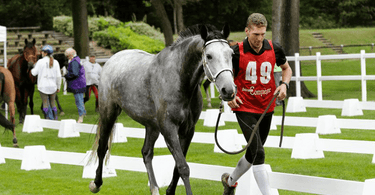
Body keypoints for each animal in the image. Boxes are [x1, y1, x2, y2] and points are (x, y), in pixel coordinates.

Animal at [89, 24, 236, 195]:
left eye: (231, 54)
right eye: (209, 55)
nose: (228, 90)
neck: (179, 79)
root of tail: (111, 60)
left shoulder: (188, 131)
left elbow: (177, 167)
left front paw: (169, 191)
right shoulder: (169, 128)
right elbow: (183, 167)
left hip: (152, 126)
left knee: (146, 153)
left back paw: (154, 188)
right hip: (109, 113)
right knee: (102, 147)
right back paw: (96, 183)